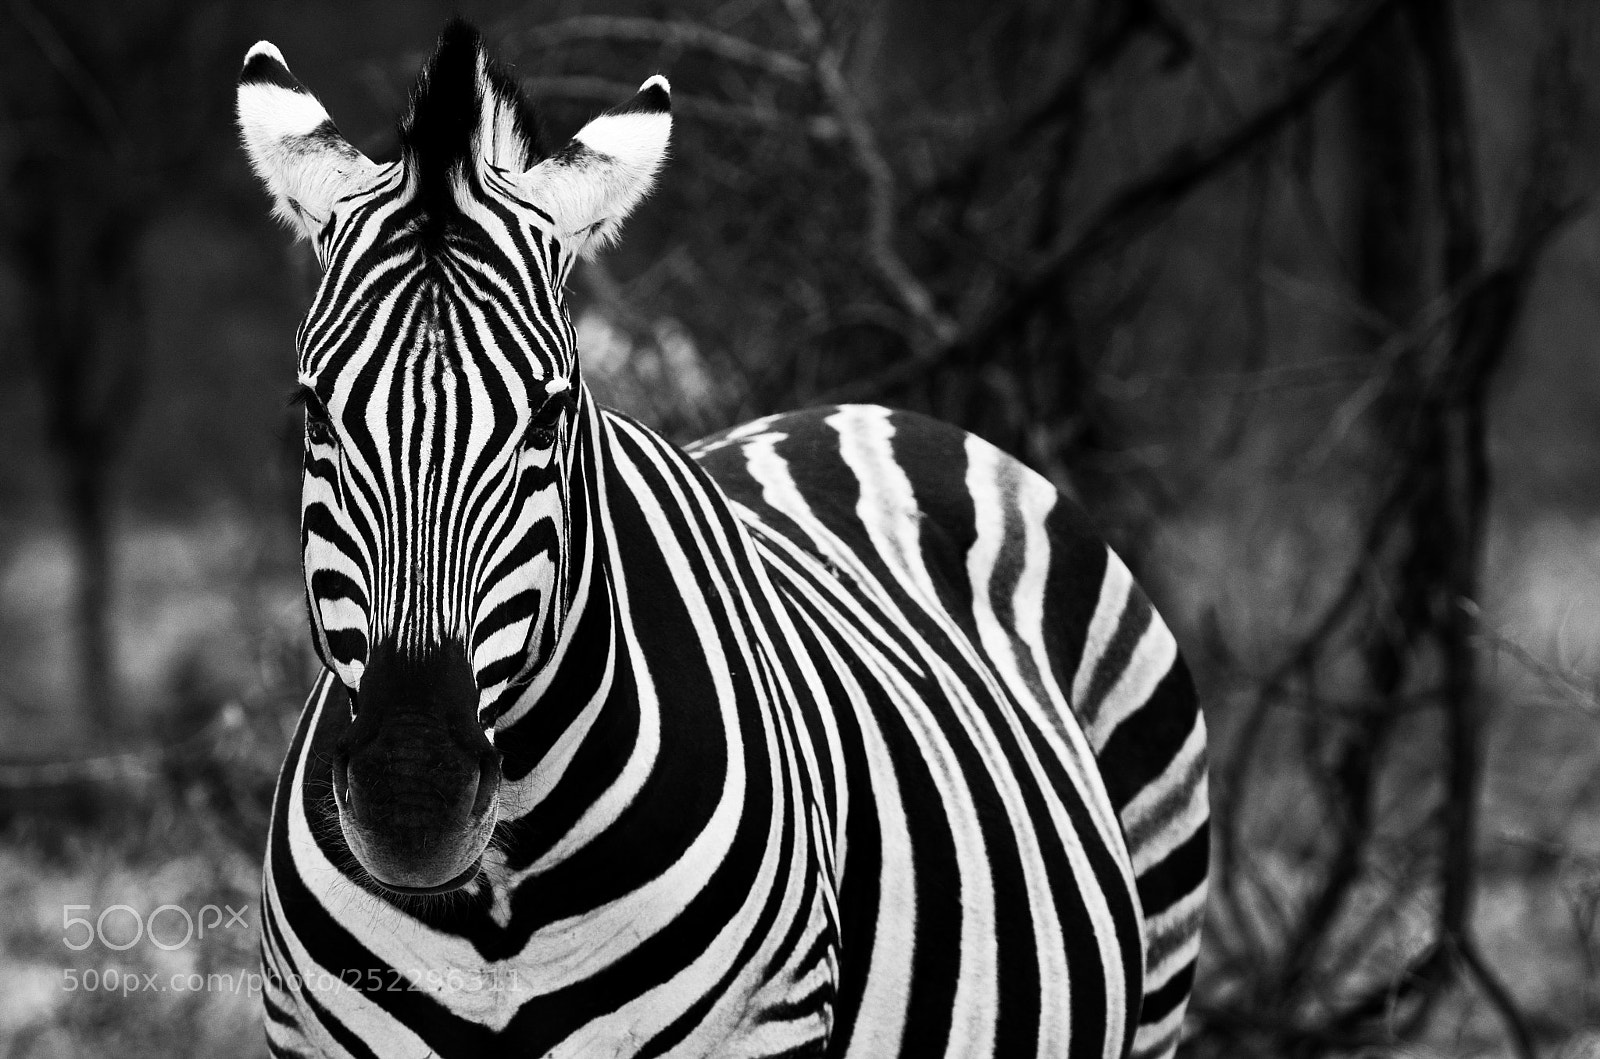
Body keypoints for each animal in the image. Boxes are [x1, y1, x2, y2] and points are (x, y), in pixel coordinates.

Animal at [237, 20, 1207, 1059]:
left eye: (549, 417)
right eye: (313, 414)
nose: (410, 800)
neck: (498, 902)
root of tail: (865, 412)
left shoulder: (765, 1023)